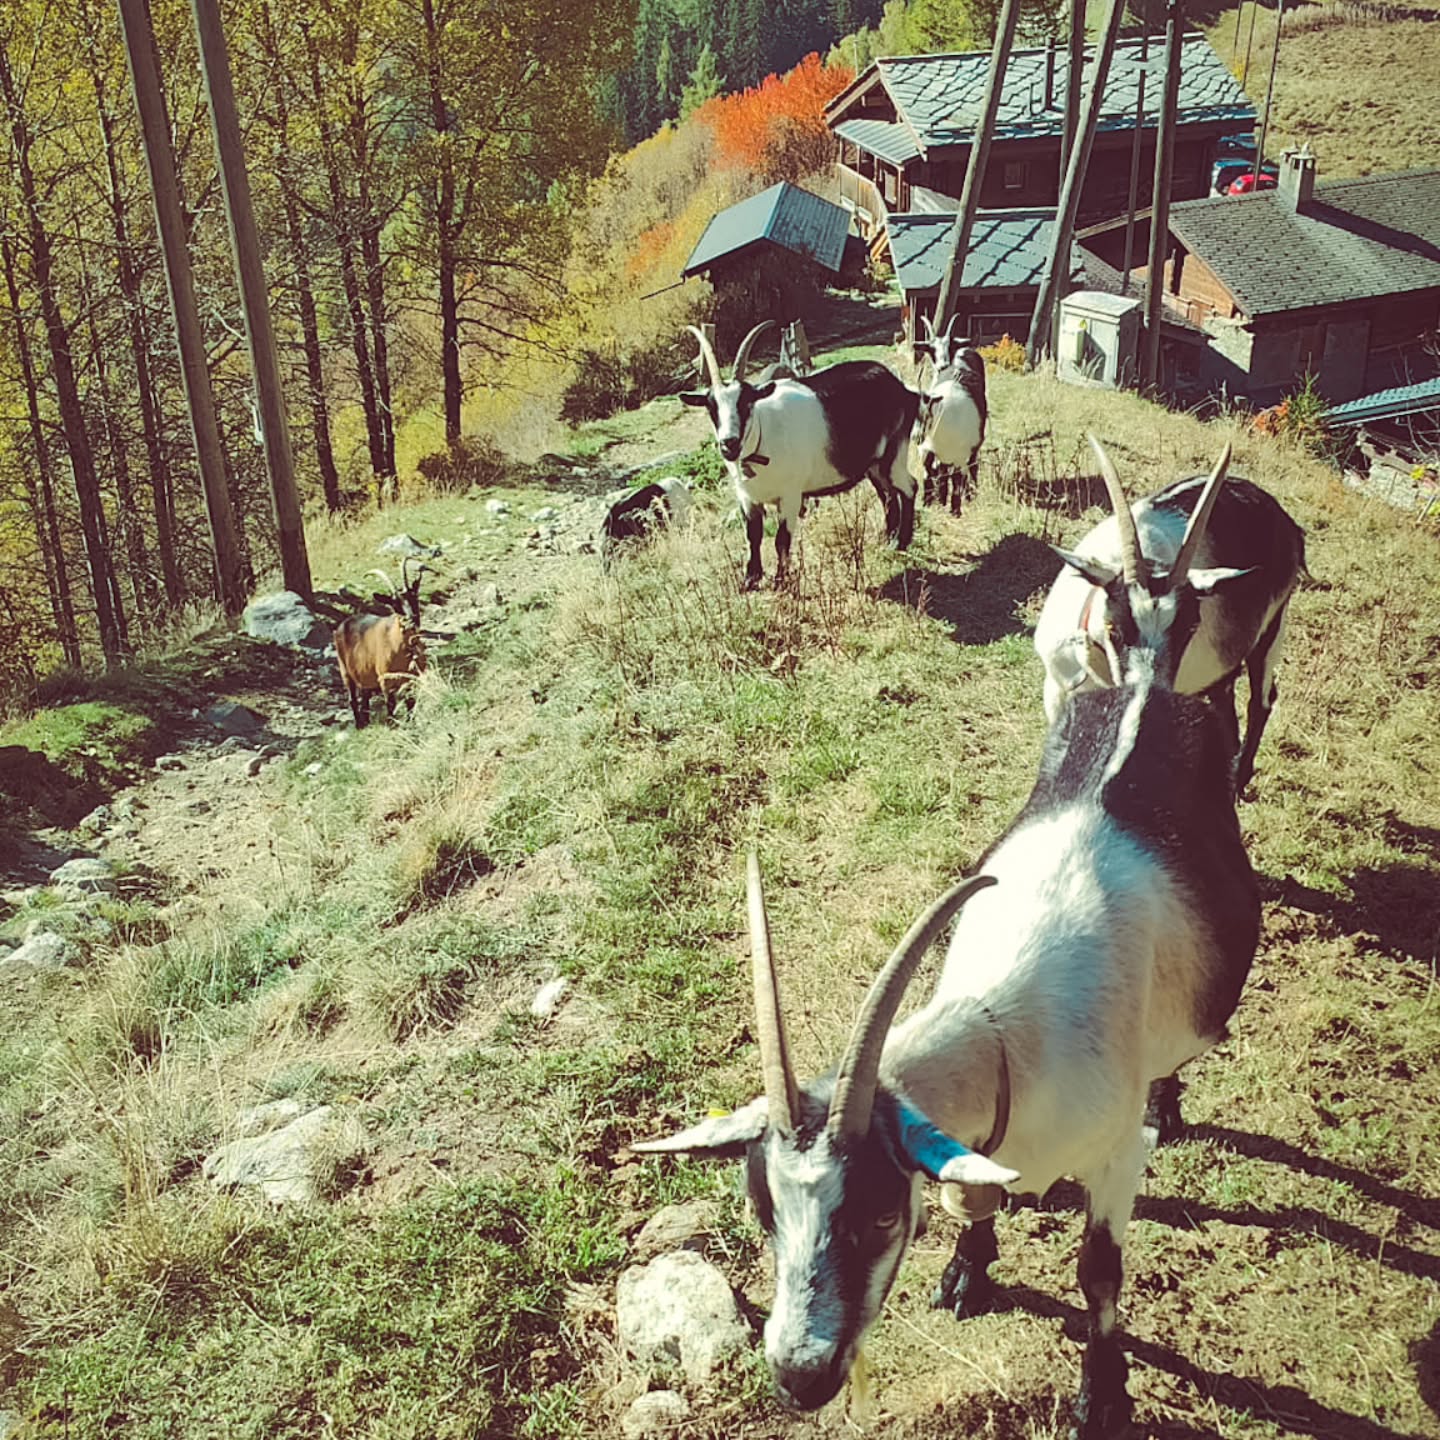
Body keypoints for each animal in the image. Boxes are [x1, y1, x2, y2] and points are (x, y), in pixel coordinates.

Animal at [333, 560, 428, 729]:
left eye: (414, 597)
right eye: (395, 605)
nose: (411, 620)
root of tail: (342, 625)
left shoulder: (412, 678)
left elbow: (411, 701)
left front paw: (410, 722)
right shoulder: (385, 680)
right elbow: (390, 704)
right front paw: (392, 725)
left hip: (364, 674)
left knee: (364, 698)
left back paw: (366, 722)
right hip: (345, 671)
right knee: (352, 699)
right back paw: (359, 725)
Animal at [636, 662, 1258, 1437]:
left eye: (880, 1215)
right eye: (762, 1210)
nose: (799, 1377)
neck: (1005, 1035)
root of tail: (1148, 683)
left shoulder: (1117, 1157)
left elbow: (1098, 1271)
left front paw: (1103, 1396)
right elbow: (970, 1197)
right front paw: (969, 1273)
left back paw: (1168, 1105)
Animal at [682, 321, 921, 589]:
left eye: (746, 402)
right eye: (711, 407)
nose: (729, 444)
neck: (763, 441)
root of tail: (901, 388)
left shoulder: (790, 496)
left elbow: (781, 539)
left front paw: (780, 581)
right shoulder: (748, 497)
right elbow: (753, 536)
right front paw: (750, 580)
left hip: (894, 452)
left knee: (909, 487)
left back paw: (901, 542)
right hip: (874, 464)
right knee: (887, 494)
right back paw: (887, 540)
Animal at [914, 314, 987, 512]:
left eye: (950, 346)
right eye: (930, 349)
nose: (943, 365)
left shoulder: (961, 453)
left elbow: (957, 477)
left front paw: (955, 508)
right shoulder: (927, 451)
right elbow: (929, 473)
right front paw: (931, 501)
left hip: (973, 445)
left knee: (971, 467)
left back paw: (970, 493)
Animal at [1035, 437, 1306, 793]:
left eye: (1190, 628)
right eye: (1113, 628)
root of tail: (1286, 521)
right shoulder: (1058, 694)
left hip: (1273, 629)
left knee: (1261, 701)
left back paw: (1239, 780)